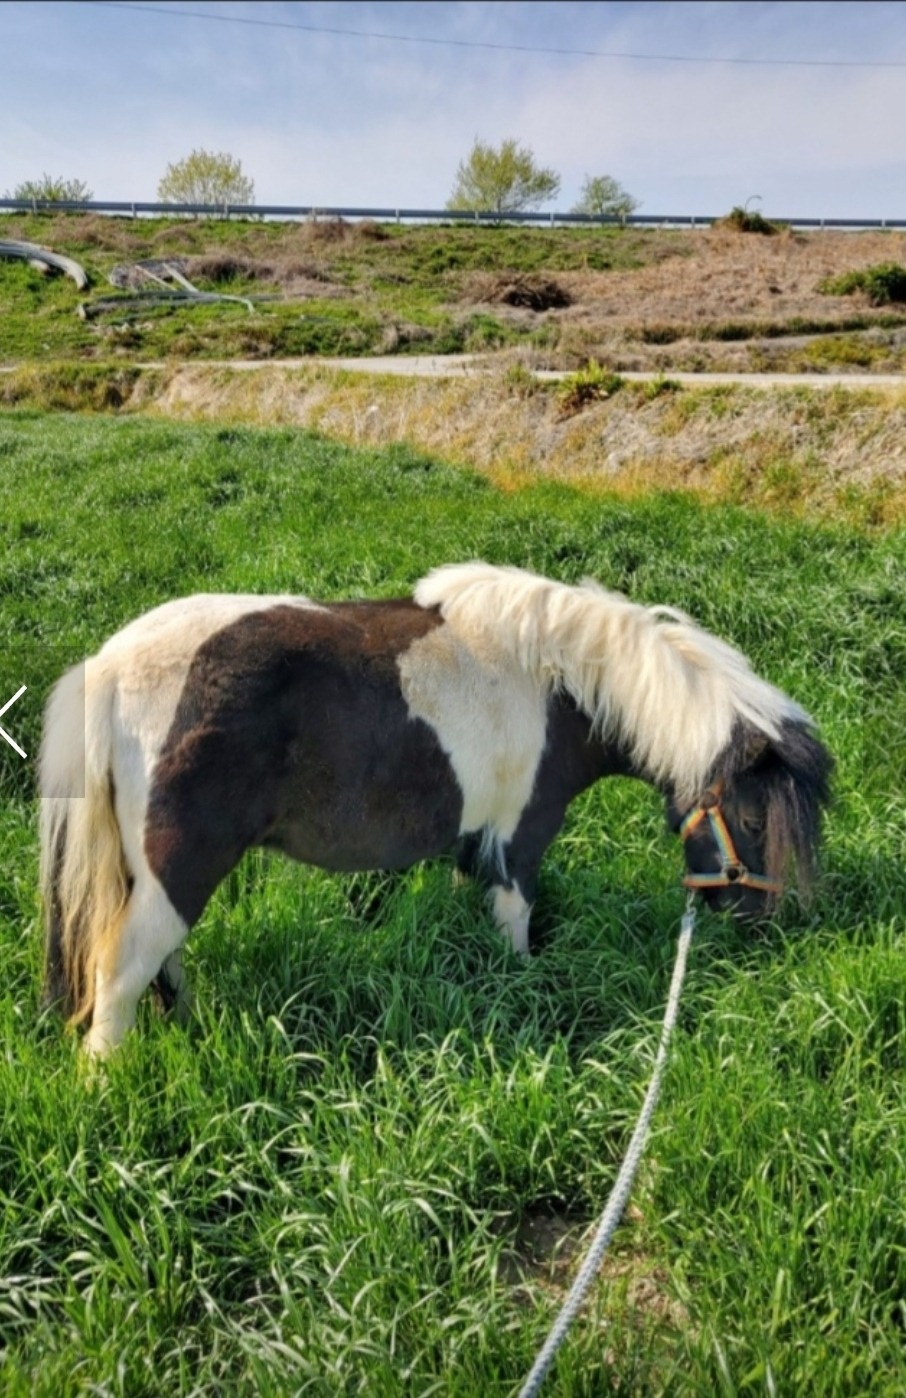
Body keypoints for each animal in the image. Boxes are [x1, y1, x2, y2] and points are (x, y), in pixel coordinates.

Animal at [42, 561, 833, 1051]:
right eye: (754, 821)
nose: (766, 928)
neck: (559, 682)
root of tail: (109, 666)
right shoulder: (520, 843)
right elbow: (515, 927)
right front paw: (522, 991)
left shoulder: (473, 840)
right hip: (180, 868)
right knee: (122, 971)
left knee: (160, 961)